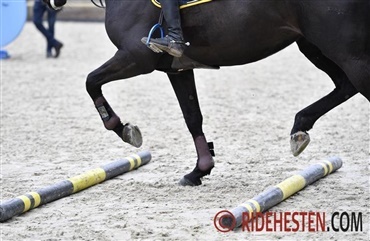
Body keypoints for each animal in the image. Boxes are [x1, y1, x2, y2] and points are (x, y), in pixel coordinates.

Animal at [44, 0, 368, 186]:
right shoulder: (177, 69)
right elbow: (192, 117)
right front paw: (200, 170)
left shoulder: (136, 57)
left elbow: (91, 82)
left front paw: (122, 128)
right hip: (315, 45)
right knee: (345, 86)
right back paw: (300, 127)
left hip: (345, 50)